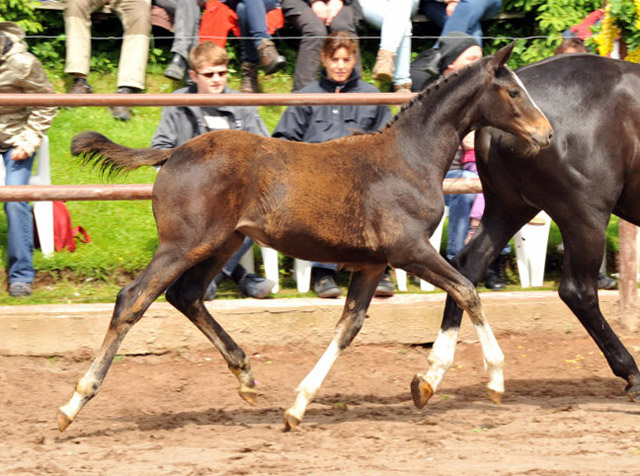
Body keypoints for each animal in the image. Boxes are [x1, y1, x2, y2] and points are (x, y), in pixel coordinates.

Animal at [57, 42, 552, 434]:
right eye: (513, 91)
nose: (546, 133)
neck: (410, 158)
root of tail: (174, 151)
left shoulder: (373, 264)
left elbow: (348, 327)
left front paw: (298, 407)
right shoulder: (410, 250)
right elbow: (467, 291)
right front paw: (492, 379)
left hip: (222, 243)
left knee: (187, 296)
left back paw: (246, 377)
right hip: (183, 245)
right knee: (133, 299)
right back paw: (73, 403)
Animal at [416, 52, 640, 410]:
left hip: (508, 208)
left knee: (465, 269)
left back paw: (435, 374)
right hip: (585, 216)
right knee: (578, 291)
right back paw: (631, 373)